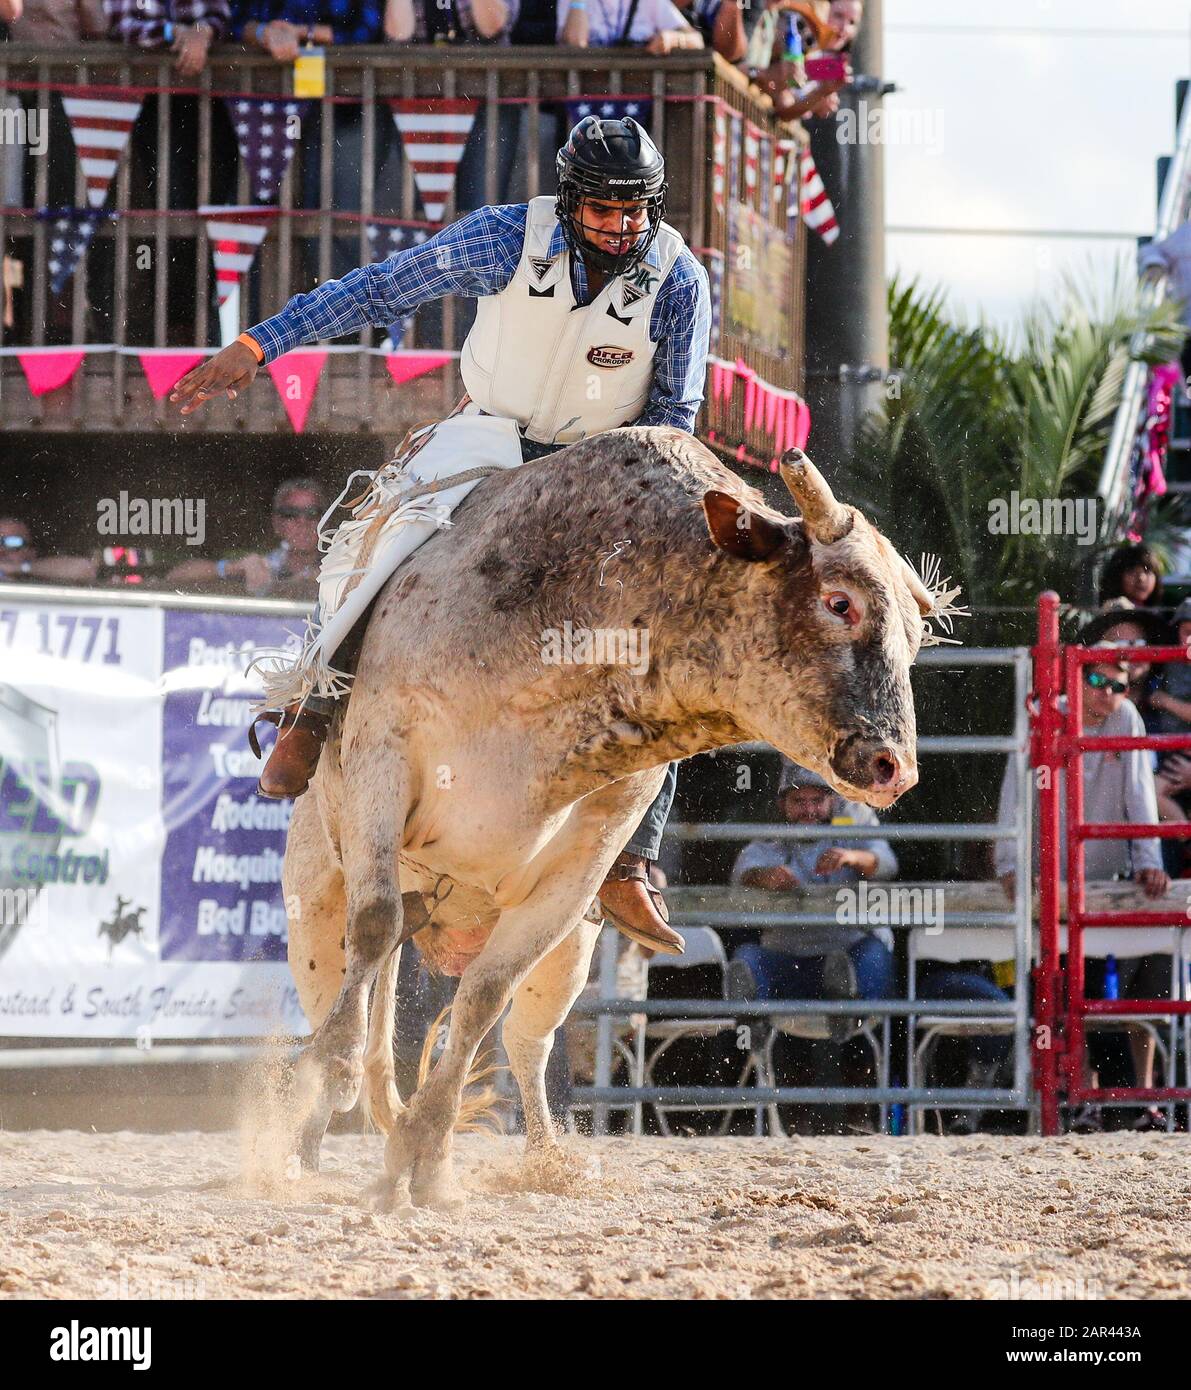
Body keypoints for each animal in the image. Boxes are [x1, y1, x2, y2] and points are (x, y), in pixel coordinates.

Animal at [276, 425, 956, 1206]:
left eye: (915, 637)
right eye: (840, 602)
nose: (893, 766)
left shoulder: (580, 866)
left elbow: (484, 998)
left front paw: (424, 1155)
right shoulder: (382, 760)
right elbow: (374, 924)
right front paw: (330, 1087)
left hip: (571, 948)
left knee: (526, 1041)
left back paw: (541, 1158)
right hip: (314, 899)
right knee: (351, 976)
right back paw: (302, 1135)